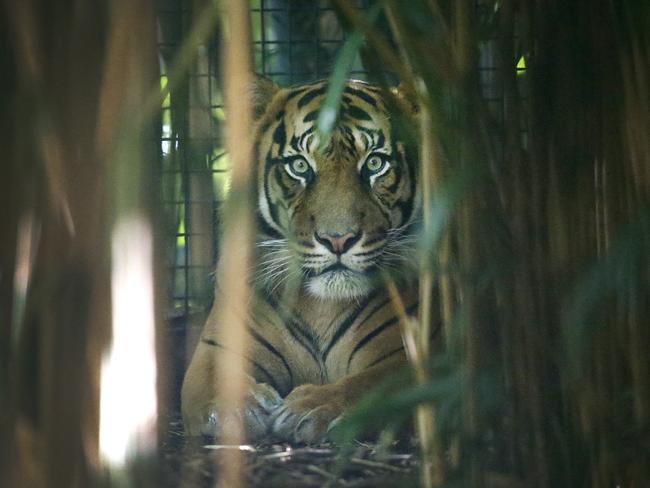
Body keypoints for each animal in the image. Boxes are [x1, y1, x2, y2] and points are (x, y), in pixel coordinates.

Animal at [180, 75, 420, 442]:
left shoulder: (413, 353)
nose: (338, 239)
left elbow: (374, 384)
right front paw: (241, 408)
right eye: (300, 166)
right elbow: (215, 381)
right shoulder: (216, 349)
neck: (320, 307)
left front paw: (311, 407)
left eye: (375, 163)